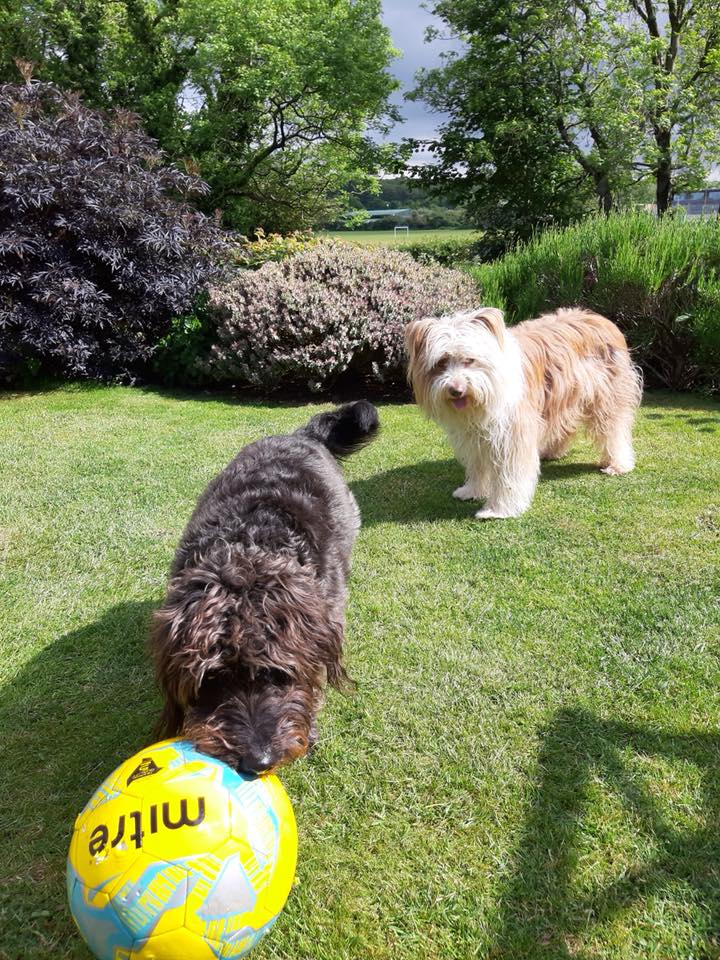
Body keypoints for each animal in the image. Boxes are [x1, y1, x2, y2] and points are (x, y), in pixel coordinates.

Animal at [404, 308, 640, 516]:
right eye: (441, 362)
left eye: (469, 360)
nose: (456, 390)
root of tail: (600, 319)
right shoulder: (474, 436)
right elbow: (478, 466)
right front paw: (472, 490)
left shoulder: (513, 434)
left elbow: (510, 475)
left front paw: (499, 510)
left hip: (608, 399)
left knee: (614, 430)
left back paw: (618, 464)